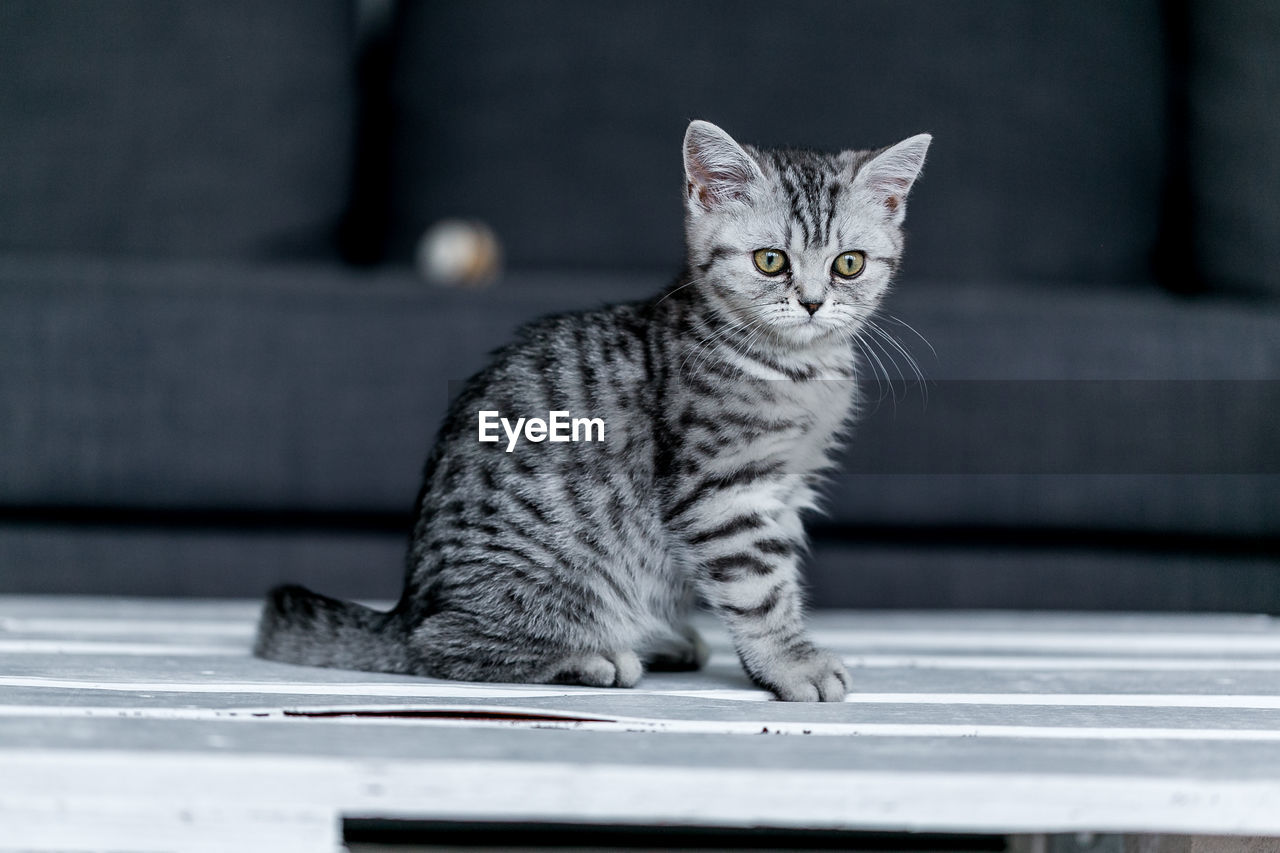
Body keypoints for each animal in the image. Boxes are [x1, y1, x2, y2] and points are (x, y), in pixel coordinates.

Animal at [254, 122, 931, 701]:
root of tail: (408, 606)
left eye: (848, 264)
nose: (814, 302)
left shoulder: (783, 488)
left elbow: (780, 577)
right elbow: (760, 589)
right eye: (771, 261)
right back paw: (591, 656)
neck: (795, 368)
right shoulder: (720, 492)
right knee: (440, 647)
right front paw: (792, 664)